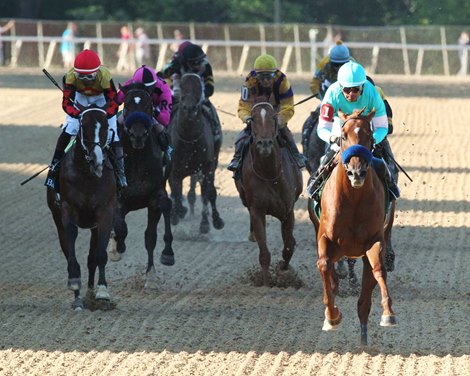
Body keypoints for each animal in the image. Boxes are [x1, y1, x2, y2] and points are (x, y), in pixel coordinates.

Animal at [46, 105, 115, 308]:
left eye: (106, 126)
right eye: (84, 126)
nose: (97, 159)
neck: (87, 175)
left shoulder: (105, 212)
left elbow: (100, 254)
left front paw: (102, 291)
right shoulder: (68, 209)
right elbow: (71, 244)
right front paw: (75, 282)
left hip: (94, 225)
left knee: (92, 258)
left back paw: (90, 293)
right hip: (57, 217)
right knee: (67, 249)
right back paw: (78, 298)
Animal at [108, 82, 174, 288]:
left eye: (148, 106)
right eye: (127, 105)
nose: (138, 135)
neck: (136, 158)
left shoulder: (154, 197)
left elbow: (150, 236)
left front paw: (153, 274)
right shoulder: (118, 199)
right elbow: (121, 227)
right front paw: (118, 248)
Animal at [170, 72, 225, 234]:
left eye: (198, 88)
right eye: (182, 87)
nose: (189, 107)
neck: (189, 138)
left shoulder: (206, 167)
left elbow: (208, 192)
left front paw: (209, 223)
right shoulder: (174, 168)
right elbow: (175, 190)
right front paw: (175, 214)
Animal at [235, 100, 304, 284]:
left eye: (273, 118)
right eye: (252, 119)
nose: (264, 144)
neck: (269, 174)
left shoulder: (288, 211)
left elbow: (289, 245)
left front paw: (283, 269)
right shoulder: (257, 211)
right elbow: (264, 253)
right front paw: (266, 284)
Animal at [308, 107, 396, 346]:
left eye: (369, 134)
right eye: (343, 135)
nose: (357, 172)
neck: (353, 199)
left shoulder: (374, 240)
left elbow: (379, 269)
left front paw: (388, 313)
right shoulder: (326, 239)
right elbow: (323, 265)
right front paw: (332, 317)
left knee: (364, 298)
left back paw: (364, 340)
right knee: (331, 273)